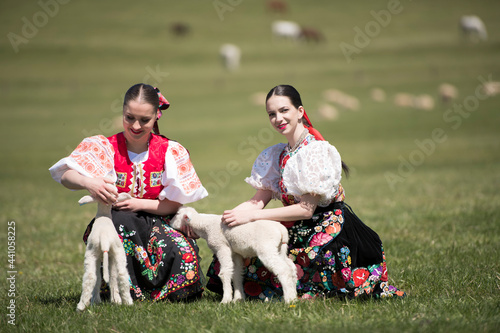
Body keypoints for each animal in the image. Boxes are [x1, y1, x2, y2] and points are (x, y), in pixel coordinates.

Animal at [170, 206, 298, 302]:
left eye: (177, 214)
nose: (169, 222)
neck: (205, 225)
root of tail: (282, 231)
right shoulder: (235, 253)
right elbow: (236, 273)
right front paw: (238, 299)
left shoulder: (222, 247)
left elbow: (224, 272)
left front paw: (226, 300)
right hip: (280, 248)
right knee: (291, 267)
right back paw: (294, 297)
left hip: (266, 249)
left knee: (283, 270)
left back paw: (288, 299)